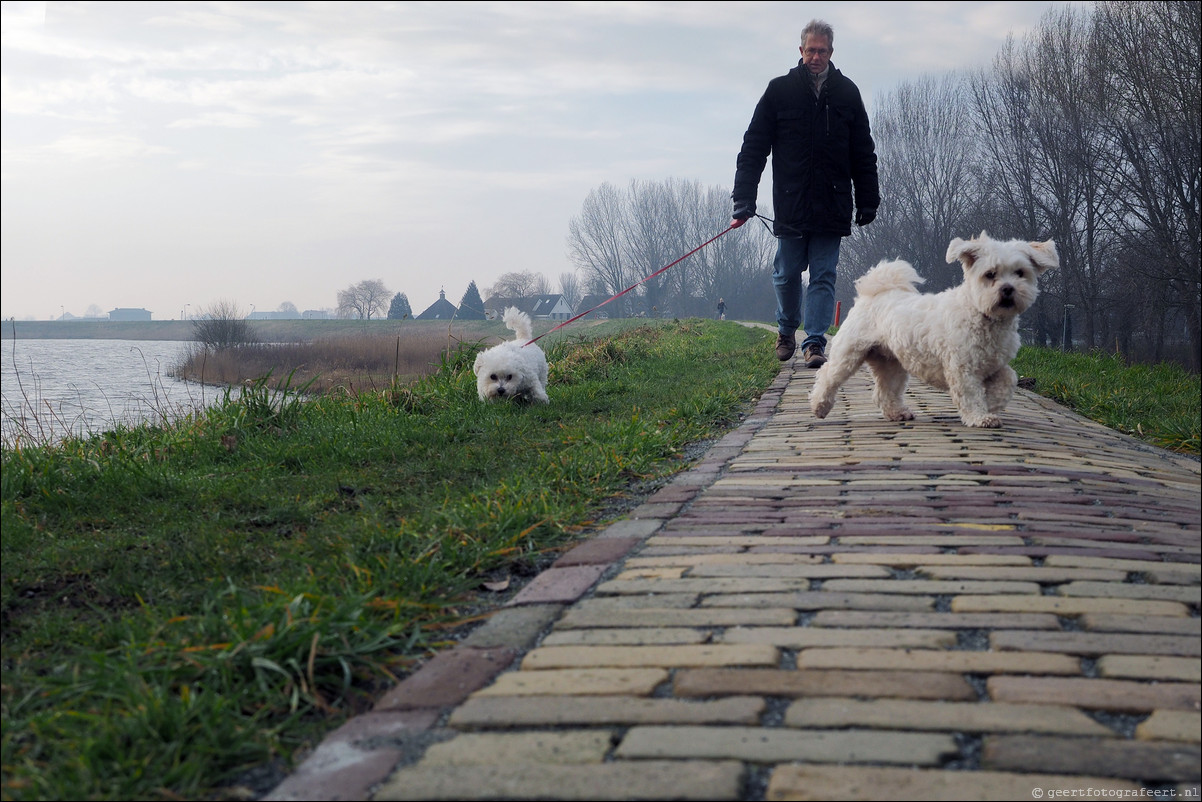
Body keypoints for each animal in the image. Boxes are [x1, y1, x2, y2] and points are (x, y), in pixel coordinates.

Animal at [812, 232, 1057, 430]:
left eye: (1020, 273)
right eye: (990, 274)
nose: (1008, 289)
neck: (981, 314)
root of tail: (873, 292)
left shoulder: (995, 364)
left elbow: (1009, 379)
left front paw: (992, 404)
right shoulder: (962, 368)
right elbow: (970, 395)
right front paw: (980, 417)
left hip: (891, 363)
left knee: (884, 392)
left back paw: (897, 413)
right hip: (849, 353)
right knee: (827, 375)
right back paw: (819, 406)